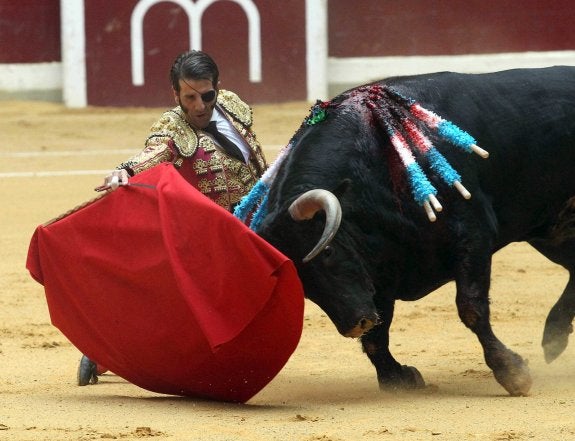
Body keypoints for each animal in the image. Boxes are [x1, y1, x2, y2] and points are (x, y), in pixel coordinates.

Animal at [258, 66, 575, 396]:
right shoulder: (378, 271)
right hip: (552, 230)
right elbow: (377, 336)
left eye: (328, 250)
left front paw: (512, 373)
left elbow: (471, 307)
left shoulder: (473, 235)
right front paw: (396, 377)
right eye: (301, 280)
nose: (355, 323)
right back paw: (554, 337)